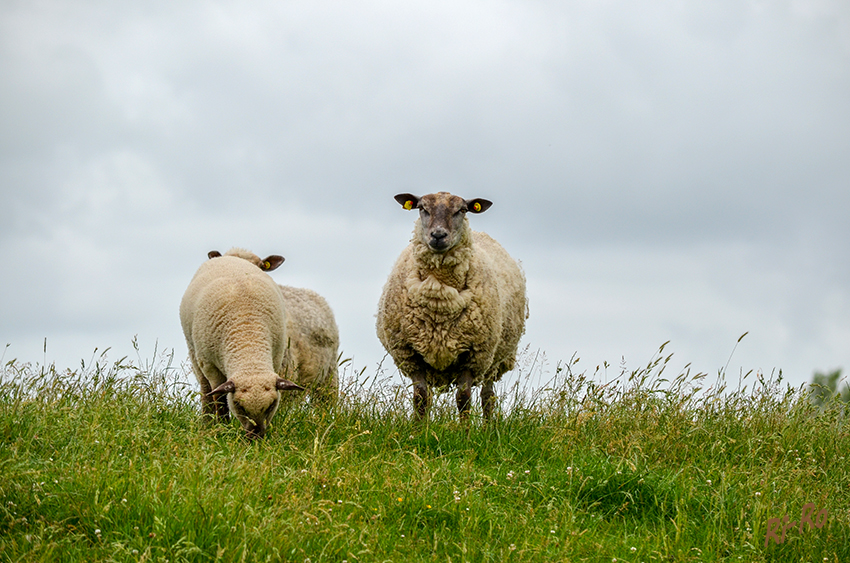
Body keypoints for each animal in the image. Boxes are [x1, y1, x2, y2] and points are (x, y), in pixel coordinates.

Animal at [177, 248, 304, 440]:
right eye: (239, 405)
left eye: (271, 405)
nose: (255, 438)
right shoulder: (210, 366)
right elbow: (220, 399)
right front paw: (223, 429)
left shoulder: (275, 358)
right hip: (194, 353)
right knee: (205, 390)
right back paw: (207, 422)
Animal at [376, 192, 528, 420]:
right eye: (422, 208)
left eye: (462, 210)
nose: (438, 235)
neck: (439, 299)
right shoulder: (411, 353)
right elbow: (421, 398)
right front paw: (418, 428)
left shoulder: (473, 354)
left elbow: (463, 399)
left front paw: (465, 430)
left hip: (494, 358)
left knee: (488, 397)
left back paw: (489, 426)